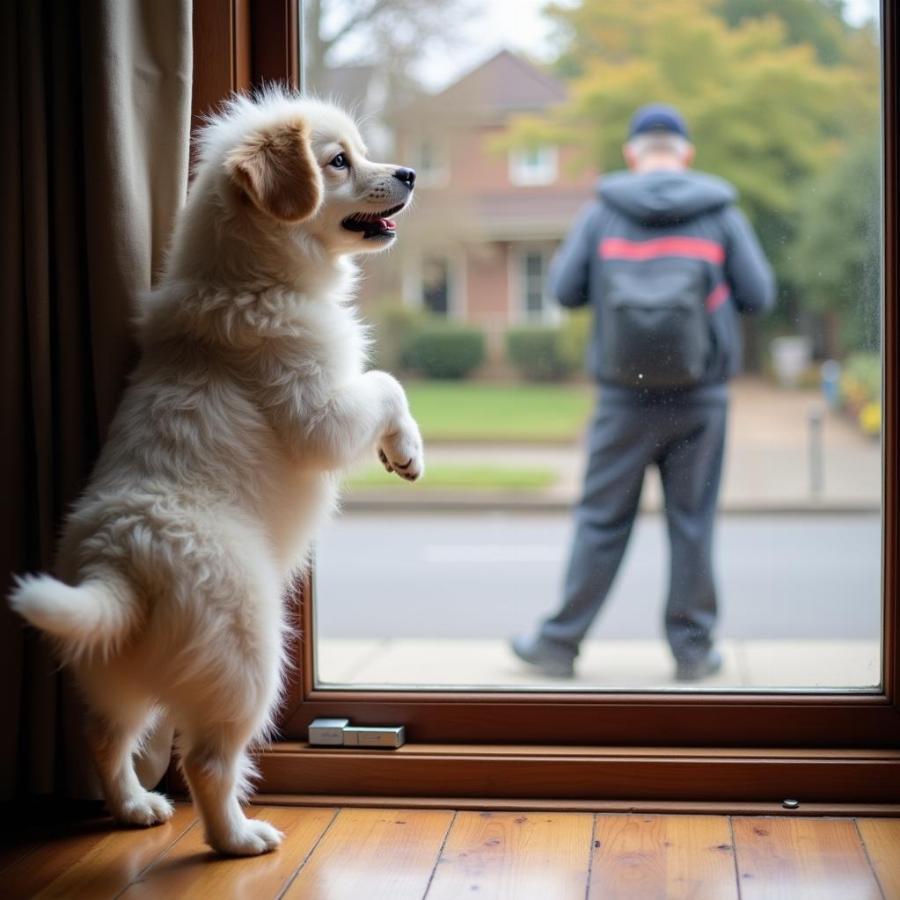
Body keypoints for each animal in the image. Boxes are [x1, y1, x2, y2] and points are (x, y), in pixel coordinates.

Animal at [10, 93, 426, 856]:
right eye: (339, 160)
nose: (409, 174)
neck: (250, 273)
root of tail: (122, 566)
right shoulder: (320, 410)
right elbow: (386, 383)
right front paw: (406, 452)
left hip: (110, 672)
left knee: (104, 735)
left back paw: (134, 808)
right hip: (248, 656)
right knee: (206, 759)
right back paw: (238, 838)